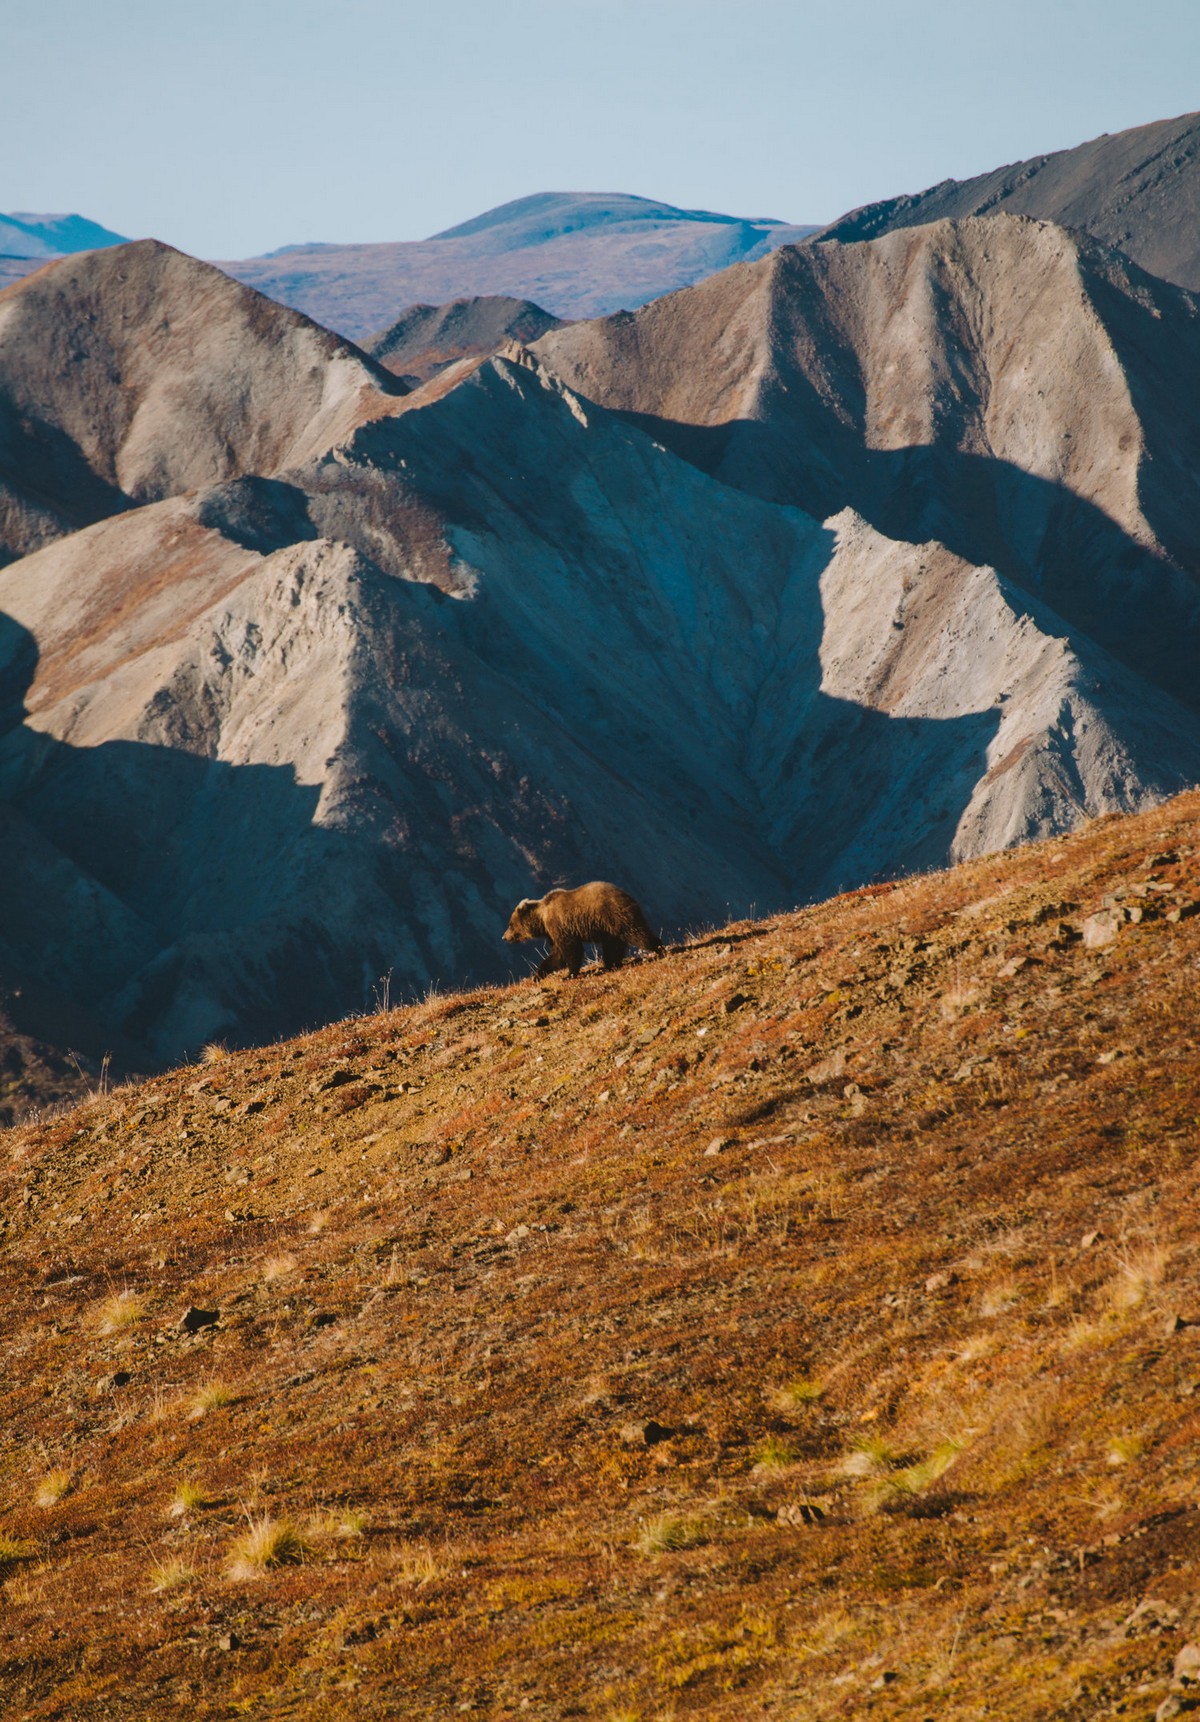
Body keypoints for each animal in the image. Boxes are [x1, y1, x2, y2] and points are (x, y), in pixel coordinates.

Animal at [499, 881, 664, 978]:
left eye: (510, 924)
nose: (504, 937)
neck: (542, 919)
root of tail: (627, 895)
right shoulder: (552, 934)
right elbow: (557, 954)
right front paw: (539, 974)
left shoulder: (560, 925)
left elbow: (571, 950)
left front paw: (569, 974)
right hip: (608, 928)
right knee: (613, 946)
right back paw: (610, 965)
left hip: (614, 915)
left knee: (636, 932)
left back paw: (659, 949)